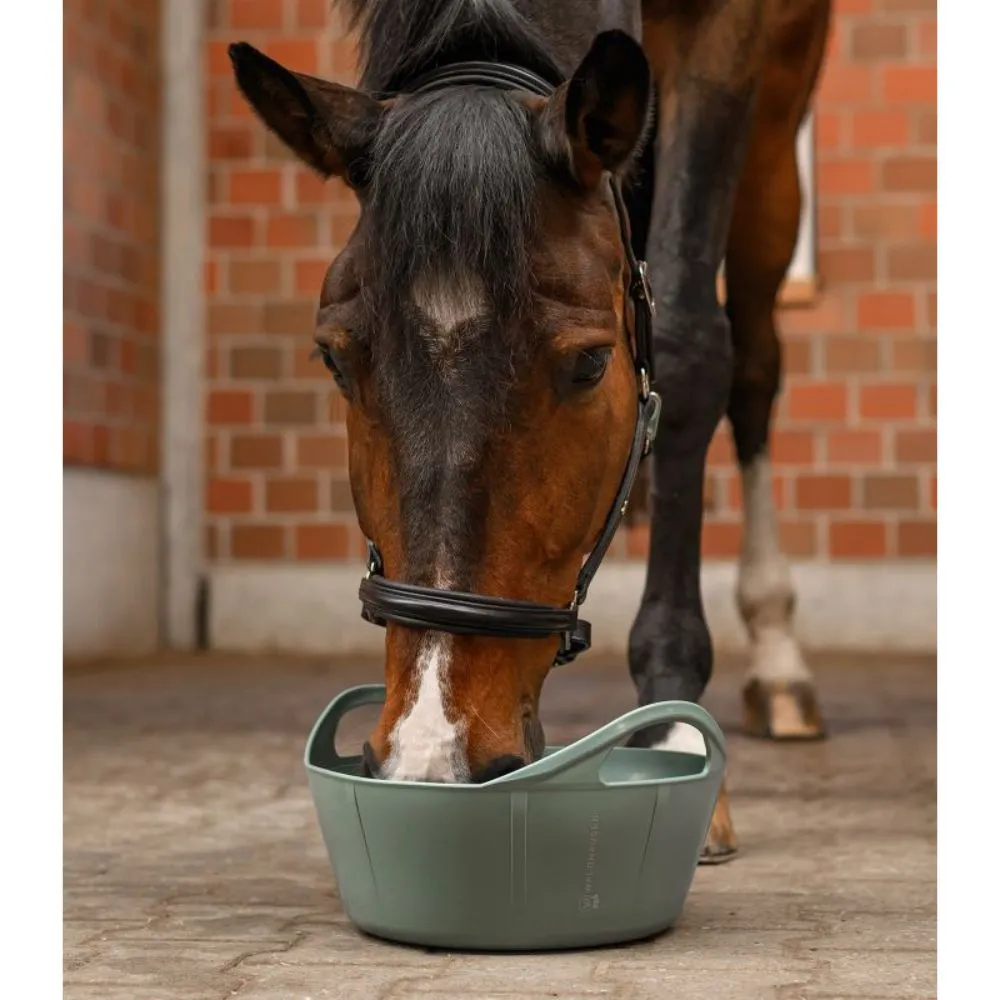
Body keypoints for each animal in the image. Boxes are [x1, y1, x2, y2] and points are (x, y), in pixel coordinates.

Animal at [230, 0, 832, 861]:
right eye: (335, 358)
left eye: (590, 364)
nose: (432, 747)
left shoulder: (733, 38)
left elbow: (687, 343)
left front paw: (673, 728)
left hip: (779, 120)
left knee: (753, 362)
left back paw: (780, 658)